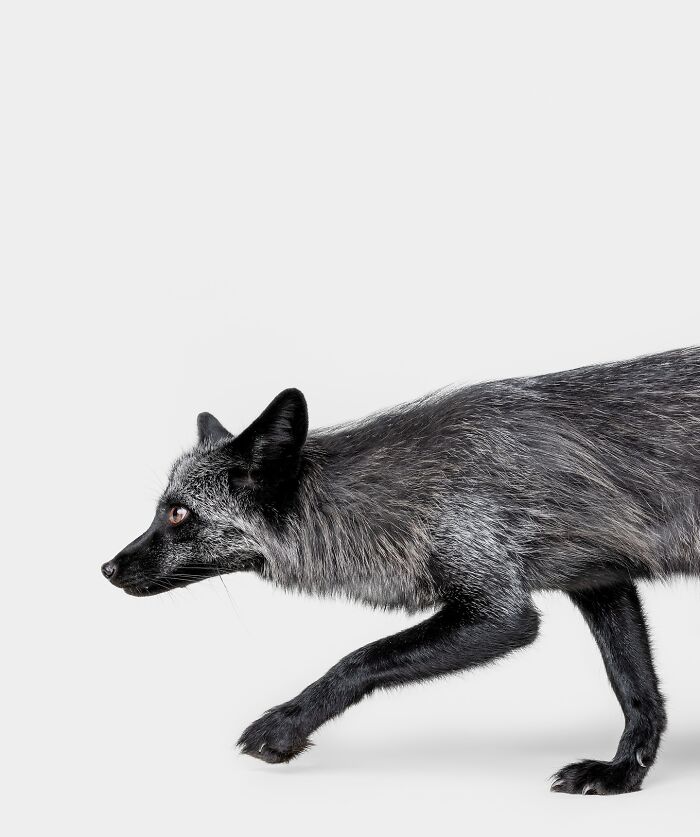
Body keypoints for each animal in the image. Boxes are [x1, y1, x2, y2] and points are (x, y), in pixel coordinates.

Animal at [102, 346, 700, 794]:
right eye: (163, 509)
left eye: (178, 513)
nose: (107, 568)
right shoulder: (599, 579)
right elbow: (637, 691)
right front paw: (624, 774)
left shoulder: (499, 610)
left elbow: (362, 657)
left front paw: (287, 725)